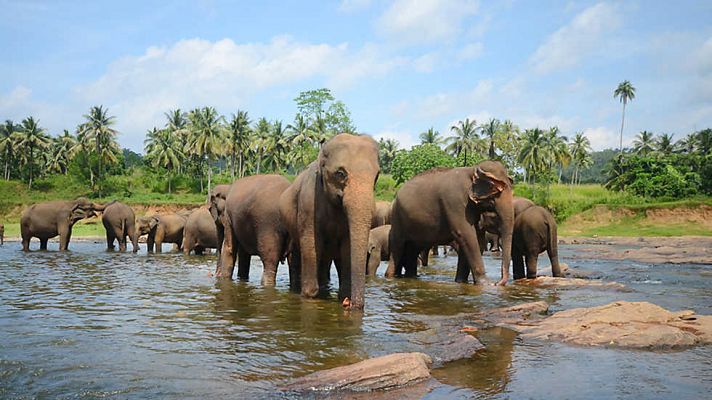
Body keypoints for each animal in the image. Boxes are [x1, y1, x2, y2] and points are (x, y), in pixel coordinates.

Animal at [278, 134, 378, 310]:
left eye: (377, 177)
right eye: (341, 173)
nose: (349, 304)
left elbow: (347, 248)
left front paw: (343, 296)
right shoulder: (308, 204)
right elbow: (311, 244)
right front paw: (309, 296)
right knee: (297, 255)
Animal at [386, 161, 516, 286]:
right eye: (494, 188)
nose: (498, 282)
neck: (472, 170)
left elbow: (476, 238)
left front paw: (461, 281)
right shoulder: (455, 202)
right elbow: (466, 235)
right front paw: (486, 284)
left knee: (412, 250)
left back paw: (411, 277)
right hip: (397, 219)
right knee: (398, 247)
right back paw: (390, 276)